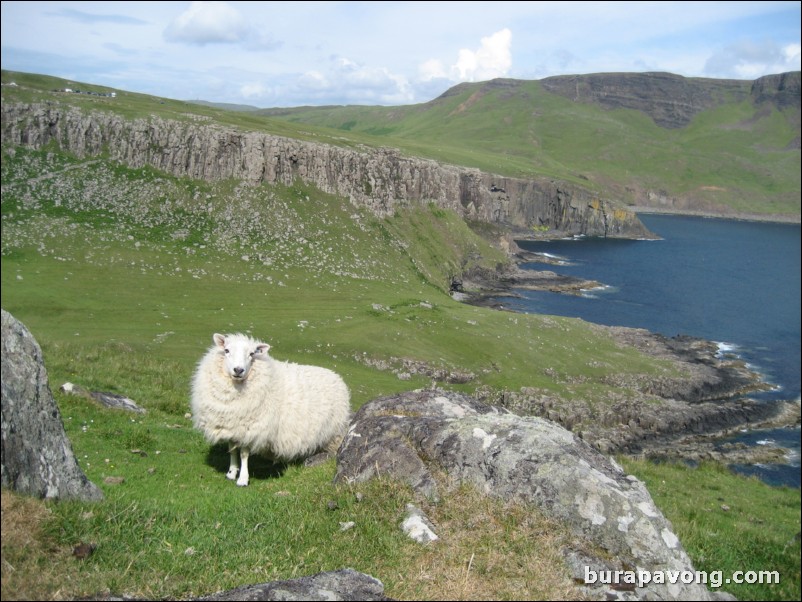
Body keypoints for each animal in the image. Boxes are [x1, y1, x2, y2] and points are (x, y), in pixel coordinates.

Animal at [191, 330, 350, 486]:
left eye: (252, 354)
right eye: (226, 350)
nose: (238, 370)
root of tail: (336, 376)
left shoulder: (251, 428)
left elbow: (243, 454)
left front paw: (243, 479)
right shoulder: (232, 426)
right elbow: (232, 450)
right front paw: (231, 472)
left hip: (335, 433)